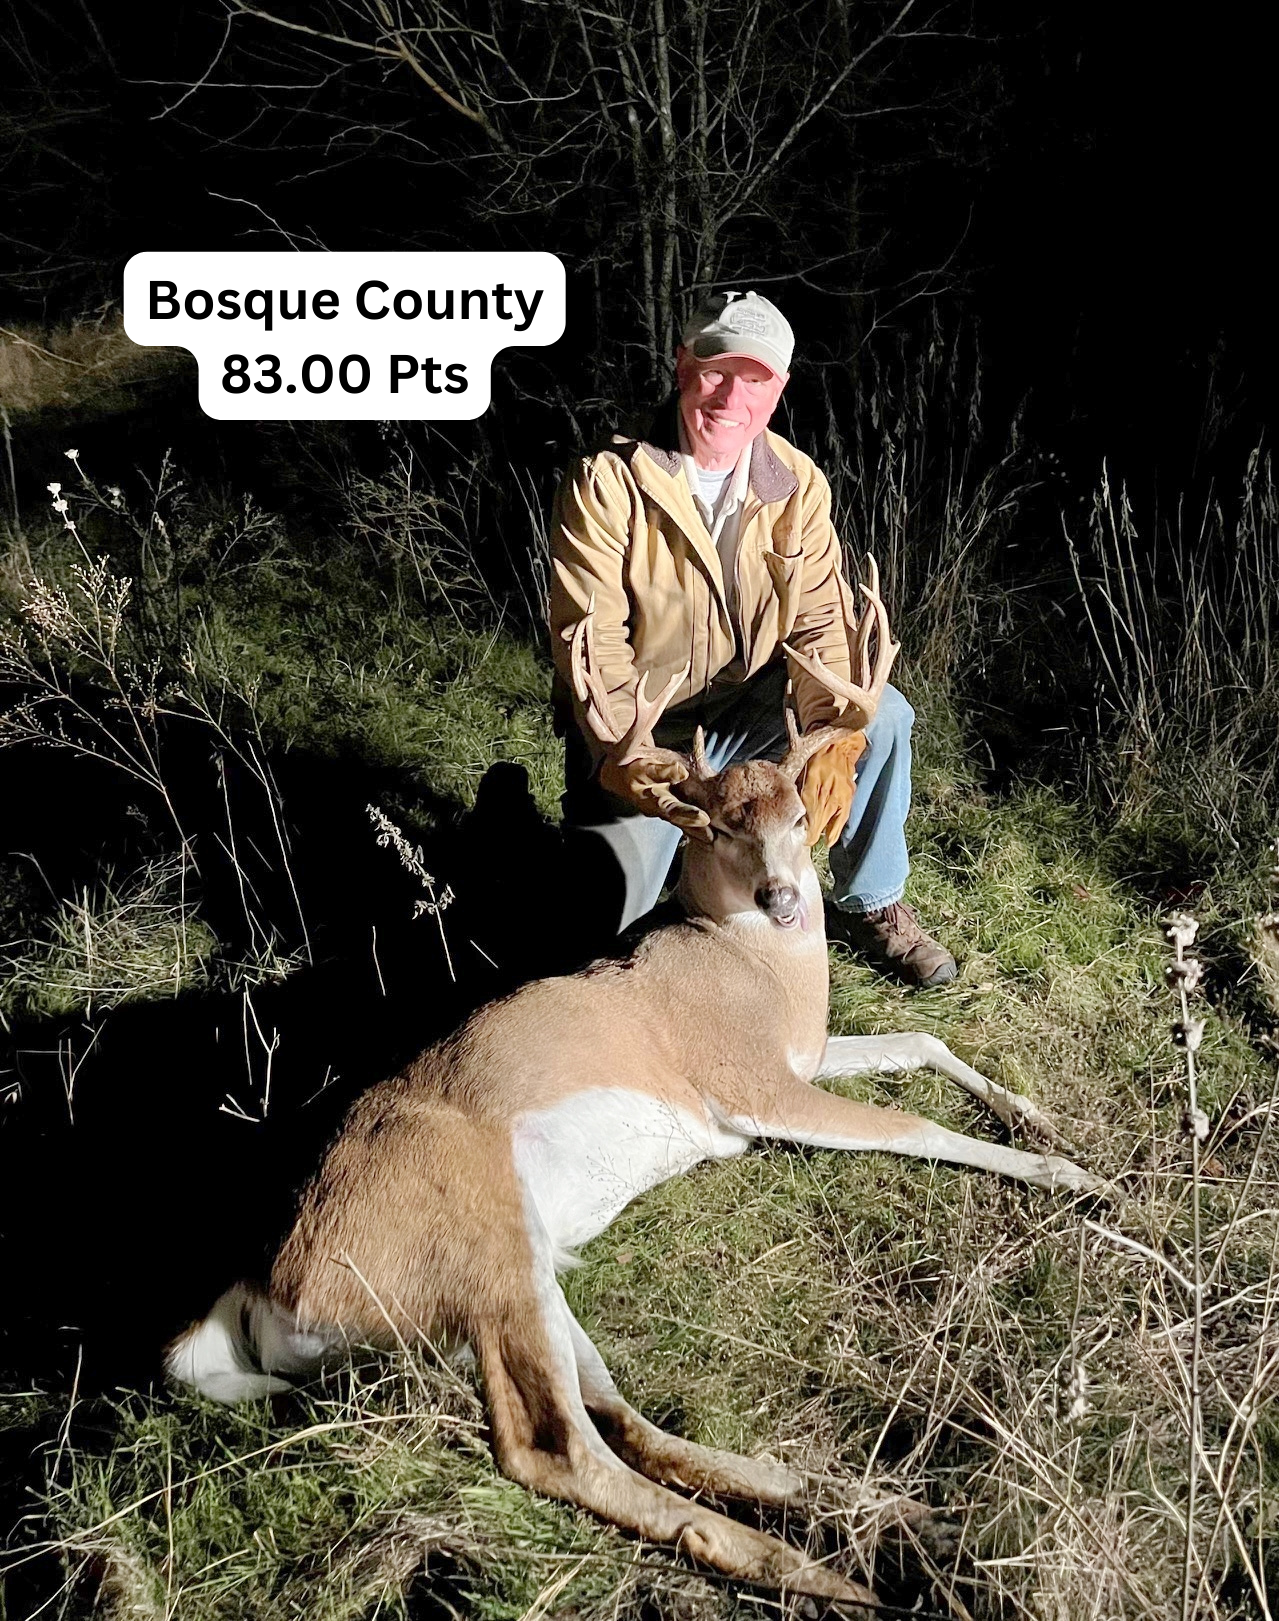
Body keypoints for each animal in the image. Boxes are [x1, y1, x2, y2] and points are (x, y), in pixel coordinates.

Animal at [169, 561, 1098, 1607]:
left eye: (797, 818)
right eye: (722, 827)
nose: (784, 898)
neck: (757, 968)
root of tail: (262, 1289)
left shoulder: (801, 1056)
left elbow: (921, 1040)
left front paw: (1038, 1115)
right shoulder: (754, 1085)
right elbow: (915, 1126)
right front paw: (1074, 1177)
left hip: (528, 1277)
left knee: (622, 1419)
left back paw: (864, 1512)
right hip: (481, 1256)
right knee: (549, 1448)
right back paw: (815, 1565)